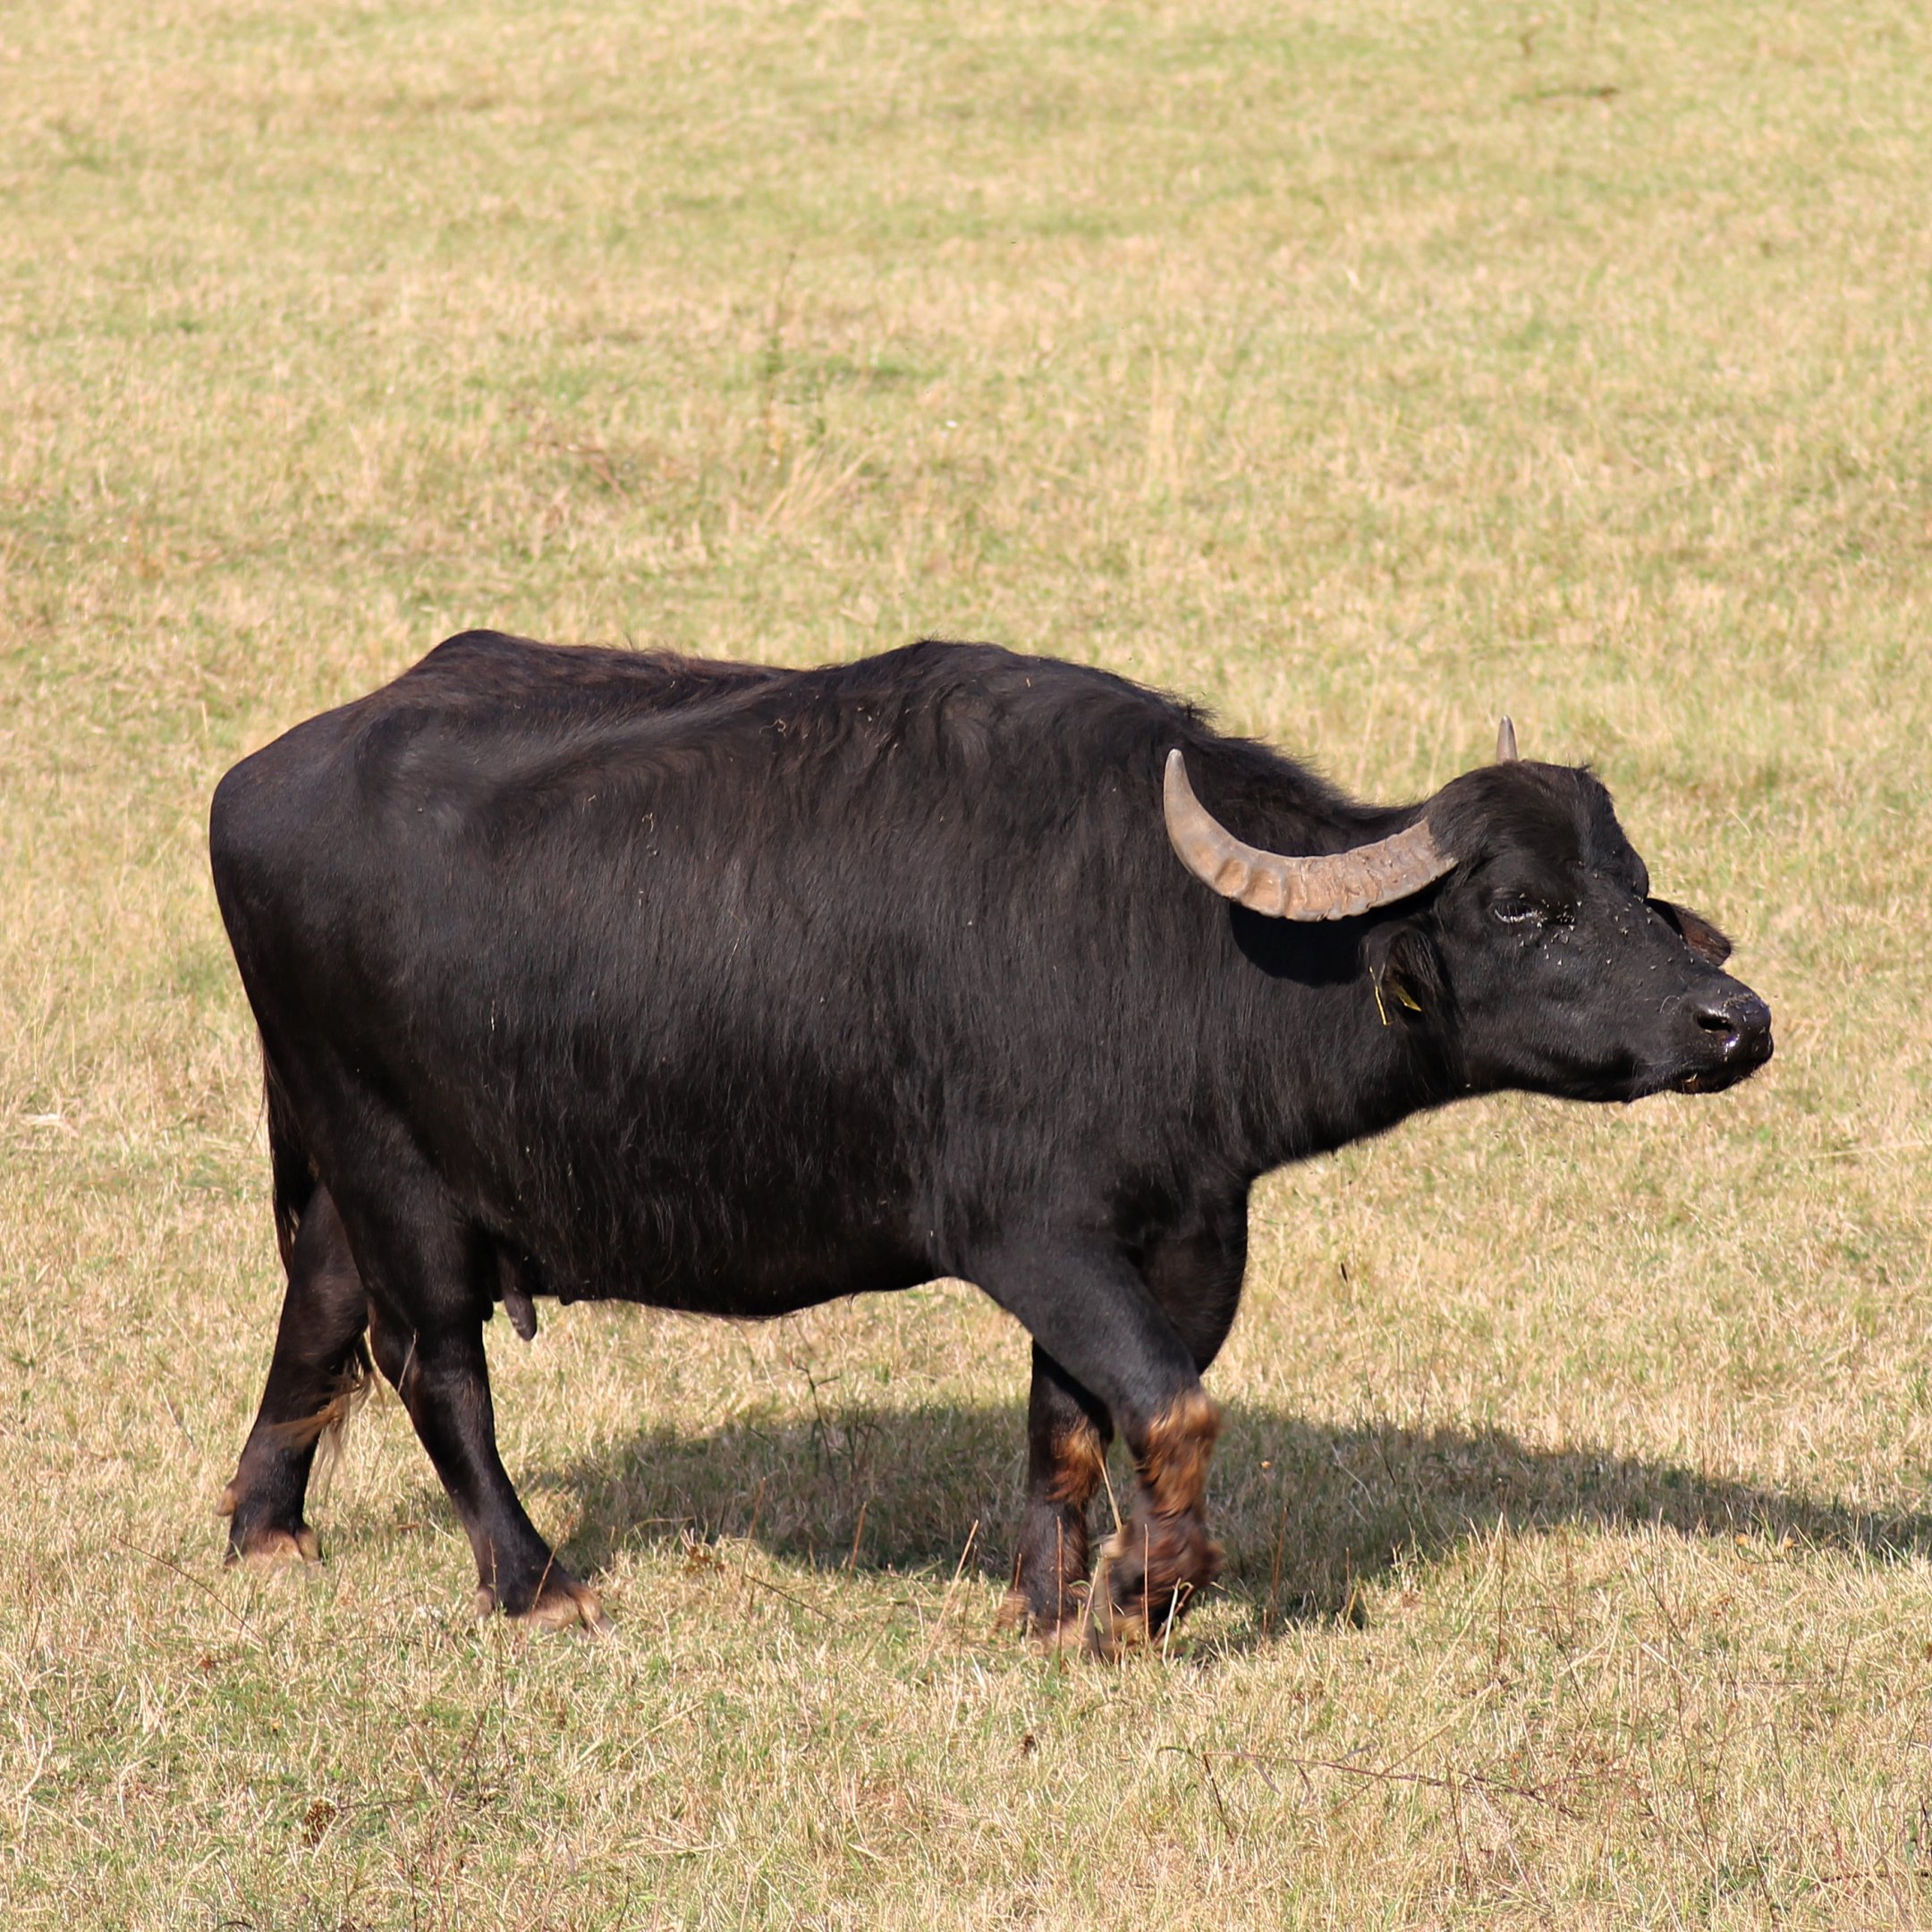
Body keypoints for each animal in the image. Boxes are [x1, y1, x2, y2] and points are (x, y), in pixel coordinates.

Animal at [209, 633, 1771, 1646]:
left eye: (1632, 881)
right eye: (1518, 905)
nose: (1733, 1022)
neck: (1175, 939)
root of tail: (254, 783)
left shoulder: (1180, 1236)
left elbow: (1072, 1424)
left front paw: (1048, 1605)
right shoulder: (1033, 1234)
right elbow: (1172, 1411)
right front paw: (1141, 1597)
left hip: (344, 1167)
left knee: (318, 1316)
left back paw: (266, 1533)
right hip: (397, 1168)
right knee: (434, 1364)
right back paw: (537, 1586)